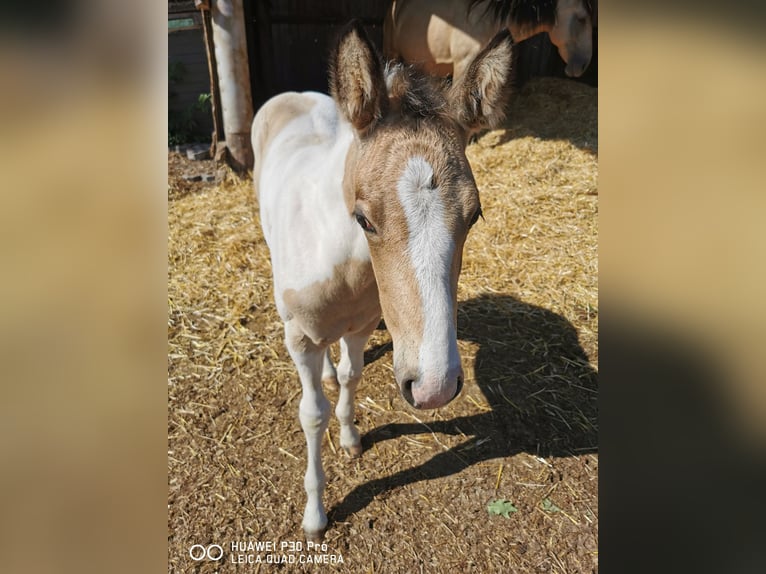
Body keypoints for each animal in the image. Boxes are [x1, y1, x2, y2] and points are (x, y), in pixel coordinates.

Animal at [251, 21, 514, 540]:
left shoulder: (363, 323)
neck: (344, 269)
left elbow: (351, 377)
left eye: (474, 216)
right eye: (364, 219)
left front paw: (351, 438)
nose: (434, 387)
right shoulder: (299, 338)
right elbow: (312, 415)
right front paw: (315, 516)